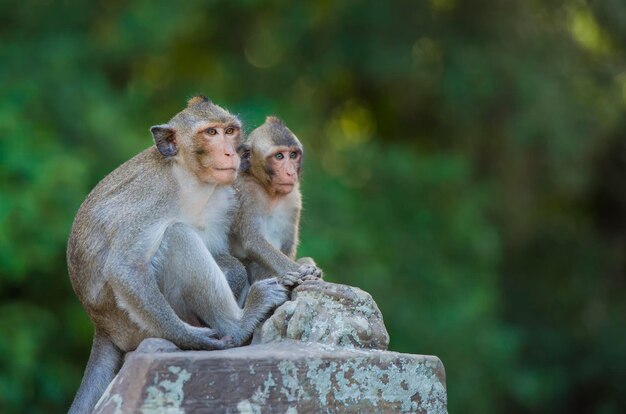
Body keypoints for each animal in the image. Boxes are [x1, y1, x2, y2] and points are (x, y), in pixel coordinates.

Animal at [64, 97, 288, 414]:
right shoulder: (152, 198)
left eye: (230, 131)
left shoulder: (225, 197)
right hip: (136, 324)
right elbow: (125, 268)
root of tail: (102, 326)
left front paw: (234, 273)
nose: (230, 152)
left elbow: (225, 256)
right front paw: (192, 338)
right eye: (211, 133)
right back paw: (239, 323)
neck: (186, 178)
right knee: (177, 236)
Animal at [228, 115, 322, 292]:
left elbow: (287, 246)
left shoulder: (293, 198)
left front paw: (309, 268)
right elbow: (254, 241)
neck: (271, 192)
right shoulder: (246, 192)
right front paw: (296, 271)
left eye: (293, 155)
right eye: (279, 156)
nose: (290, 172)